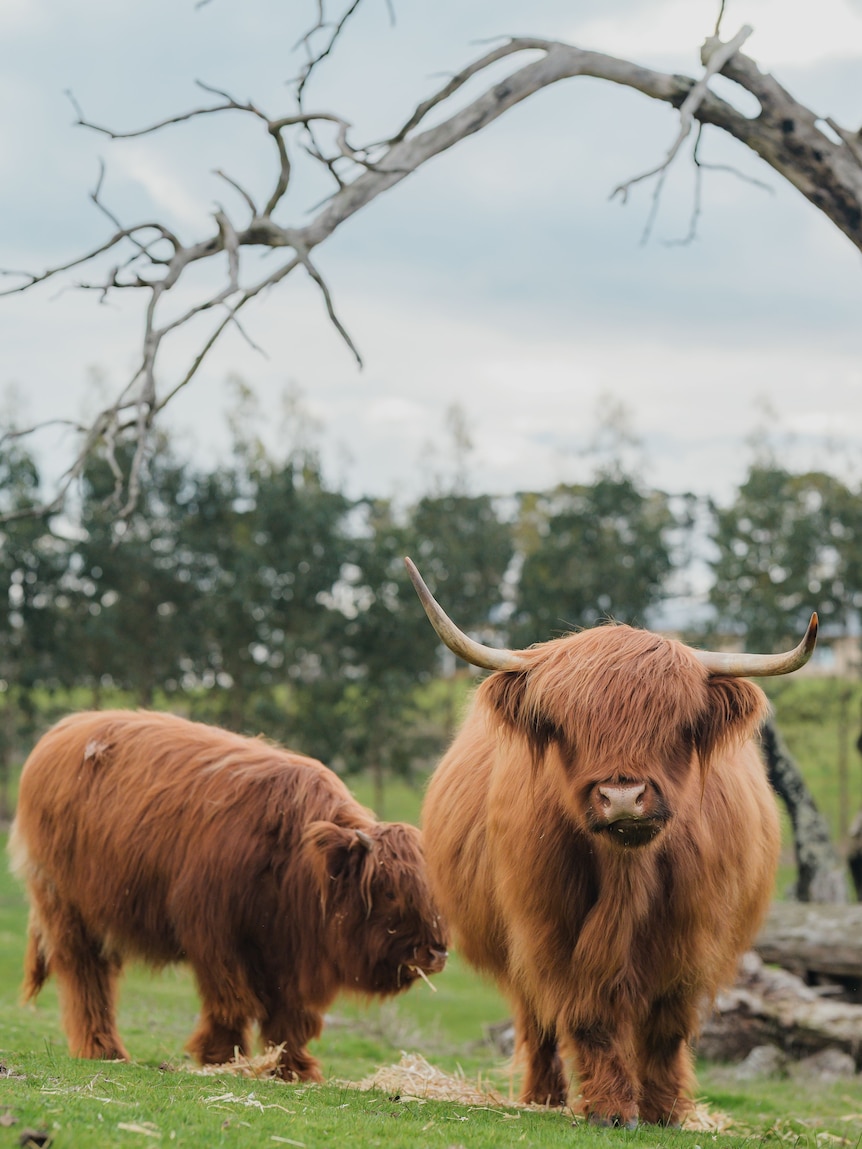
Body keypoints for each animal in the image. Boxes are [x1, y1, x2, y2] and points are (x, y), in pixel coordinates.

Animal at [9, 709, 448, 1080]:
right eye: (389, 891)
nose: (437, 952)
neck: (294, 862)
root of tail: (62, 731)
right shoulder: (215, 934)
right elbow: (233, 1000)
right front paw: (222, 1057)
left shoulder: (293, 952)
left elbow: (291, 1015)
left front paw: (292, 1068)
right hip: (65, 906)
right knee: (85, 974)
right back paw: (103, 1049)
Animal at [406, 557, 816, 1128]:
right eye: (566, 726)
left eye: (676, 723)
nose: (623, 796)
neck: (628, 873)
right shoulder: (551, 931)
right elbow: (589, 1018)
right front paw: (611, 1108)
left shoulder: (691, 936)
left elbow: (666, 1027)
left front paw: (665, 1110)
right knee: (536, 1021)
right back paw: (543, 1097)